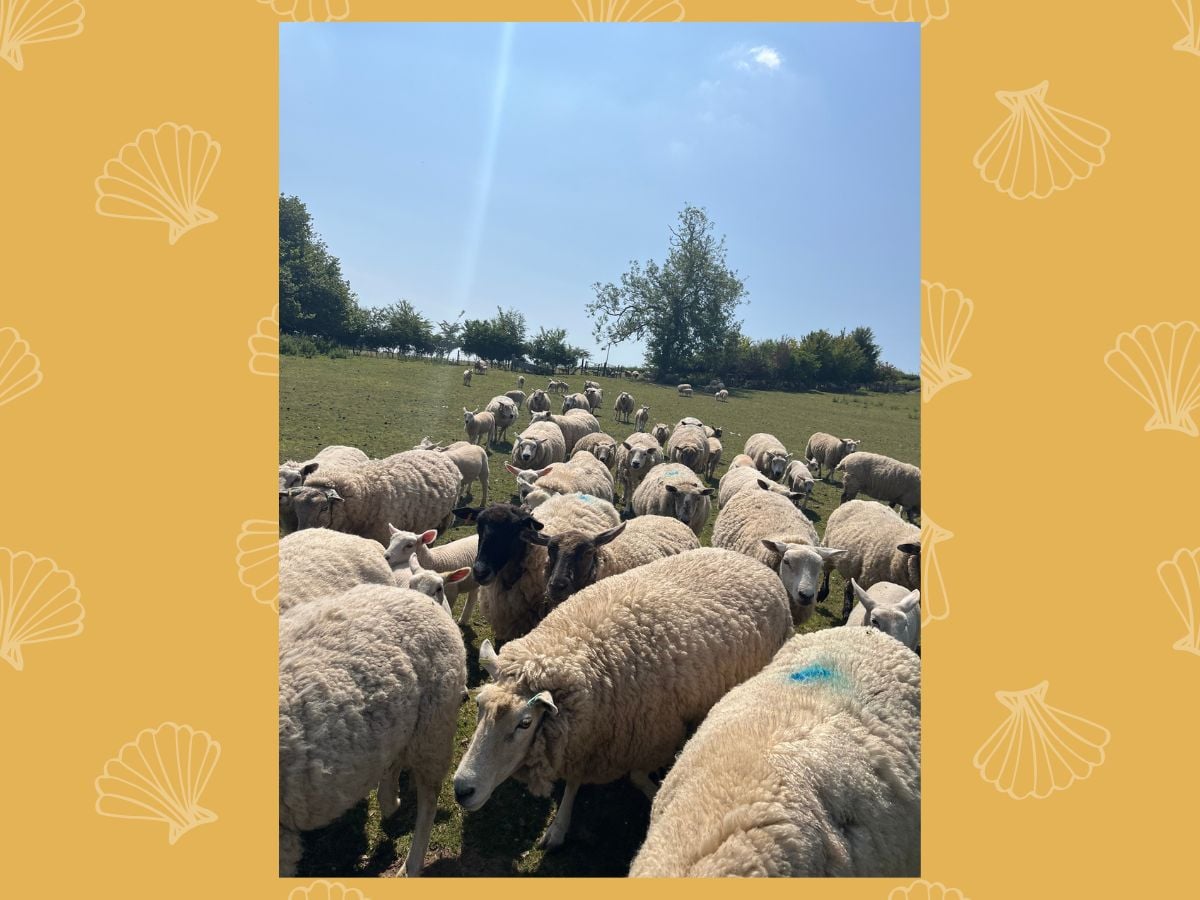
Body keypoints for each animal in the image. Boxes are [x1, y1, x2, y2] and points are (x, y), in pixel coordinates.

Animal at [279, 584, 466, 877]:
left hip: (433, 727)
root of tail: (416, 597)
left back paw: (411, 864)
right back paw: (390, 799)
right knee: (394, 755)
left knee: (428, 798)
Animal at [452, 548, 791, 851]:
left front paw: (655, 793)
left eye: (524, 723)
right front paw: (559, 827)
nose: (462, 789)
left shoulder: (648, 733)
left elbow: (638, 776)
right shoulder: (588, 735)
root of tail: (749, 560)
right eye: (478, 706)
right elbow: (574, 782)